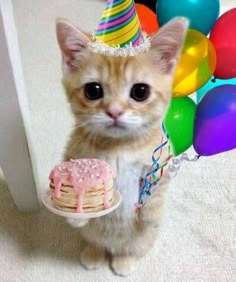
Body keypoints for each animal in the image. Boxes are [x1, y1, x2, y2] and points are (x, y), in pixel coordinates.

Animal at [55, 17, 188, 276]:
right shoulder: (74, 151)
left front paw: (151, 215)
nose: (115, 111)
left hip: (143, 241)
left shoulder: (162, 161)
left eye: (140, 91)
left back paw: (123, 261)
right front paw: (76, 215)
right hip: (92, 235)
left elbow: (156, 189)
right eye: (93, 90)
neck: (119, 146)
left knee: (130, 249)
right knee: (95, 241)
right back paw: (94, 254)